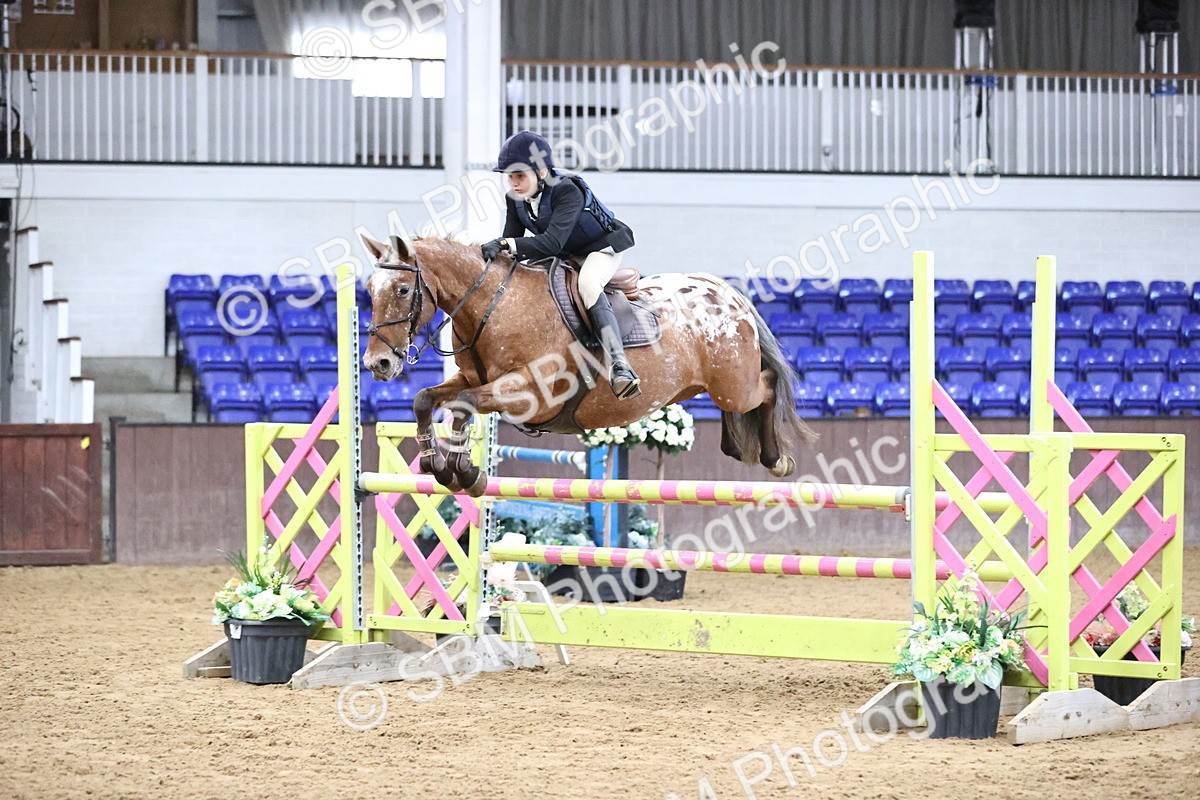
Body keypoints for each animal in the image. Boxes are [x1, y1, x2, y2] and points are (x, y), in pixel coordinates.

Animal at [359, 233, 816, 497]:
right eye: (369, 289)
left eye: (402, 290)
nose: (377, 363)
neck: (493, 306)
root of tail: (729, 293)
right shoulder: (472, 378)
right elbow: (425, 399)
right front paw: (437, 464)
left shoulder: (529, 393)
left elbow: (463, 405)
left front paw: (464, 470)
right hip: (717, 385)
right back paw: (735, 445)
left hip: (735, 386)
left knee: (768, 385)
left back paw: (776, 459)